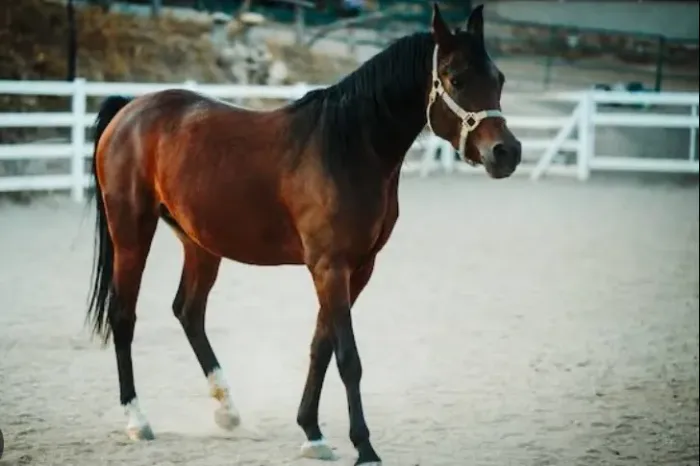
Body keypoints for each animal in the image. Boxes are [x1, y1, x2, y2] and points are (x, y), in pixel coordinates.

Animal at [85, 4, 521, 464]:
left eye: (498, 79)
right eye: (456, 79)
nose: (506, 153)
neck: (349, 147)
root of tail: (130, 109)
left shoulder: (357, 269)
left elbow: (321, 346)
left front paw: (312, 432)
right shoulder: (330, 267)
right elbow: (348, 357)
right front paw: (364, 446)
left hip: (200, 243)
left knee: (188, 311)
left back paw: (228, 411)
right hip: (131, 232)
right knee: (123, 316)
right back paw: (138, 420)